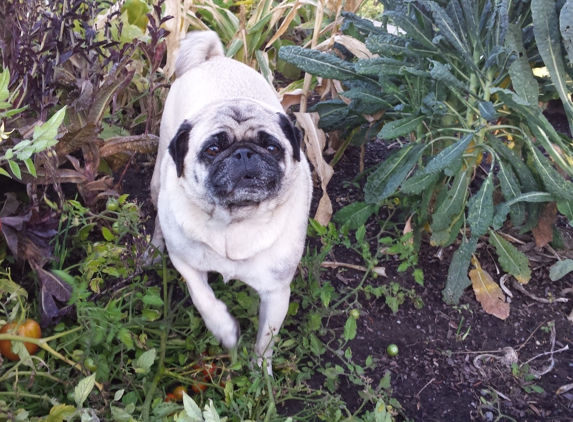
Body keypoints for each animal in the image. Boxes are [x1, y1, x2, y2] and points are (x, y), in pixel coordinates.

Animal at [150, 31, 310, 370]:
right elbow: (203, 298)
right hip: (159, 175)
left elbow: (266, 340)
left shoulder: (277, 292)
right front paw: (224, 329)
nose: (244, 153)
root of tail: (212, 59)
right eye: (212, 150)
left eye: (272, 147)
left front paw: (261, 374)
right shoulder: (186, 262)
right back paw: (153, 250)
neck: (234, 222)